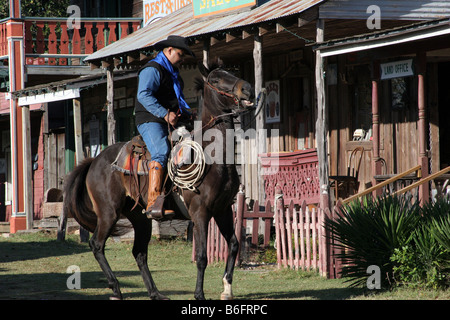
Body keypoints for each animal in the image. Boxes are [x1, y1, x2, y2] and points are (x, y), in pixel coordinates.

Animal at [61, 63, 255, 300]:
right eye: (216, 80)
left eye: (231, 72)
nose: (247, 89)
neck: (213, 157)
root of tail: (95, 161)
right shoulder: (200, 213)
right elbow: (201, 256)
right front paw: (199, 294)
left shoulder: (223, 209)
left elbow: (234, 245)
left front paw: (227, 289)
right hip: (108, 213)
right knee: (97, 245)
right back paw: (116, 288)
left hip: (140, 218)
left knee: (139, 252)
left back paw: (155, 293)